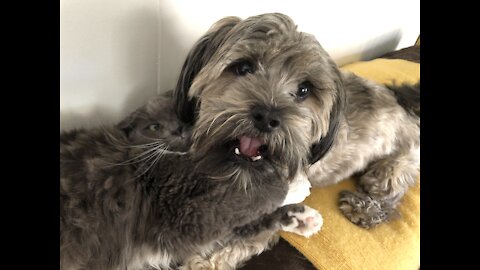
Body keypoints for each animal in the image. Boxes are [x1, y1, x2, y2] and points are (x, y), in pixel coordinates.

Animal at [171, 12, 418, 268]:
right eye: (243, 67)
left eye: (304, 90)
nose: (267, 117)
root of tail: (405, 107)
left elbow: (234, 245)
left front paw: (199, 261)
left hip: (393, 168)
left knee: (389, 197)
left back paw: (364, 209)